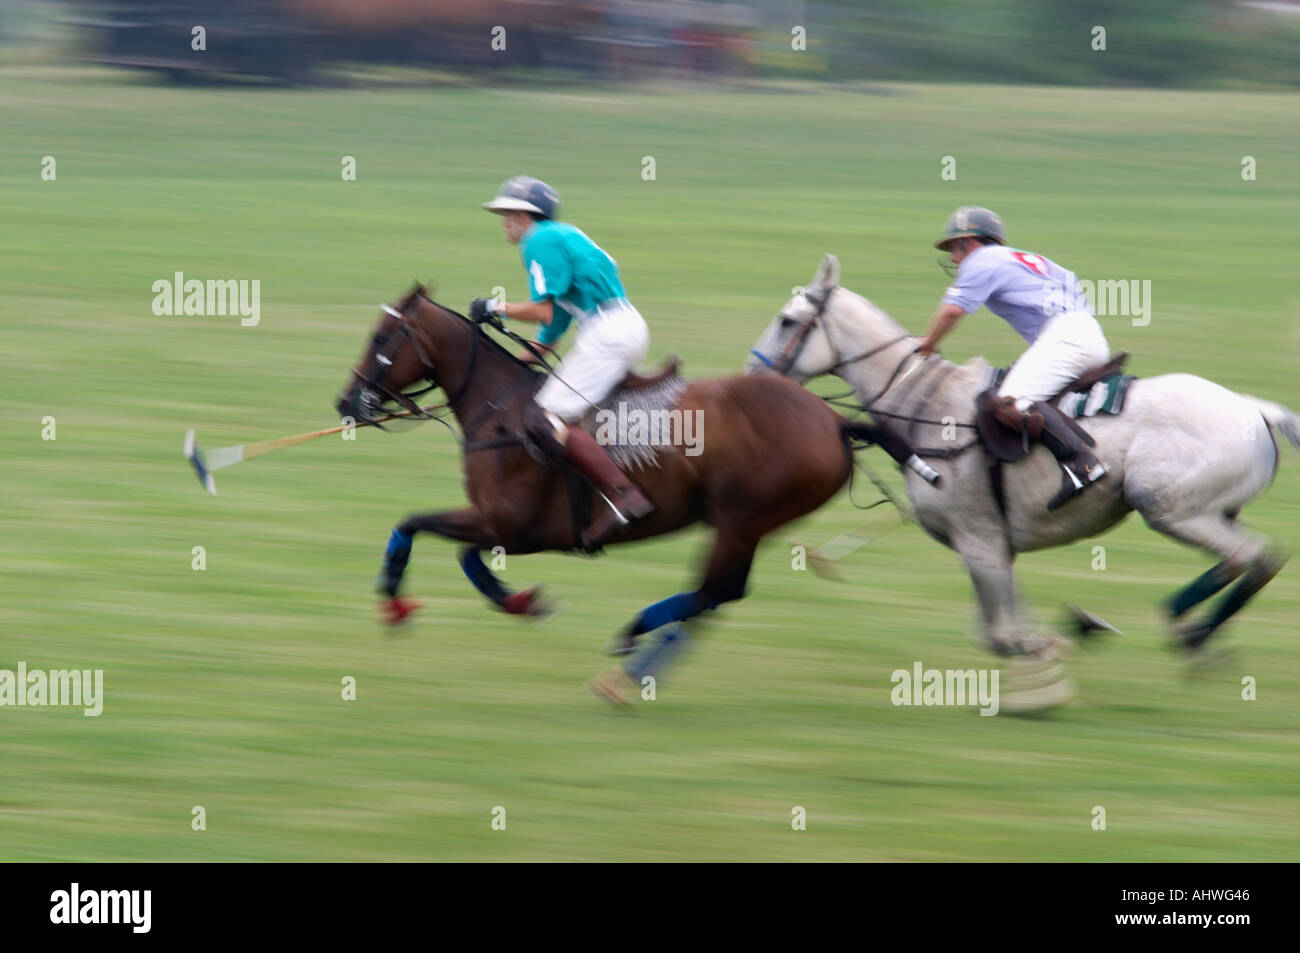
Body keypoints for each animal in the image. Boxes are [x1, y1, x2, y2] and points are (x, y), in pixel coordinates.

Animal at [338, 286, 925, 696]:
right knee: (718, 595)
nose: (345, 403)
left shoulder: (514, 526)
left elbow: (424, 529)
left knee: (715, 592)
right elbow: (448, 545)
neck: (497, 410)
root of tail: (834, 420)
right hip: (747, 523)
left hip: (741, 518)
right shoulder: (501, 526)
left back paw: (629, 656)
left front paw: (395, 599)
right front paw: (522, 600)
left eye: (380, 339)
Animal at [748, 250, 1294, 655]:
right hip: (1212, 509)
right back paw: (1185, 630)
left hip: (1169, 507)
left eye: (787, 320)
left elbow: (1003, 638)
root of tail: (1256, 409)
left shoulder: (980, 539)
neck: (926, 405)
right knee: (1263, 557)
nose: (753, 376)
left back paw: (1183, 627)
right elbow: (1003, 625)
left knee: (1247, 556)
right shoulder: (992, 547)